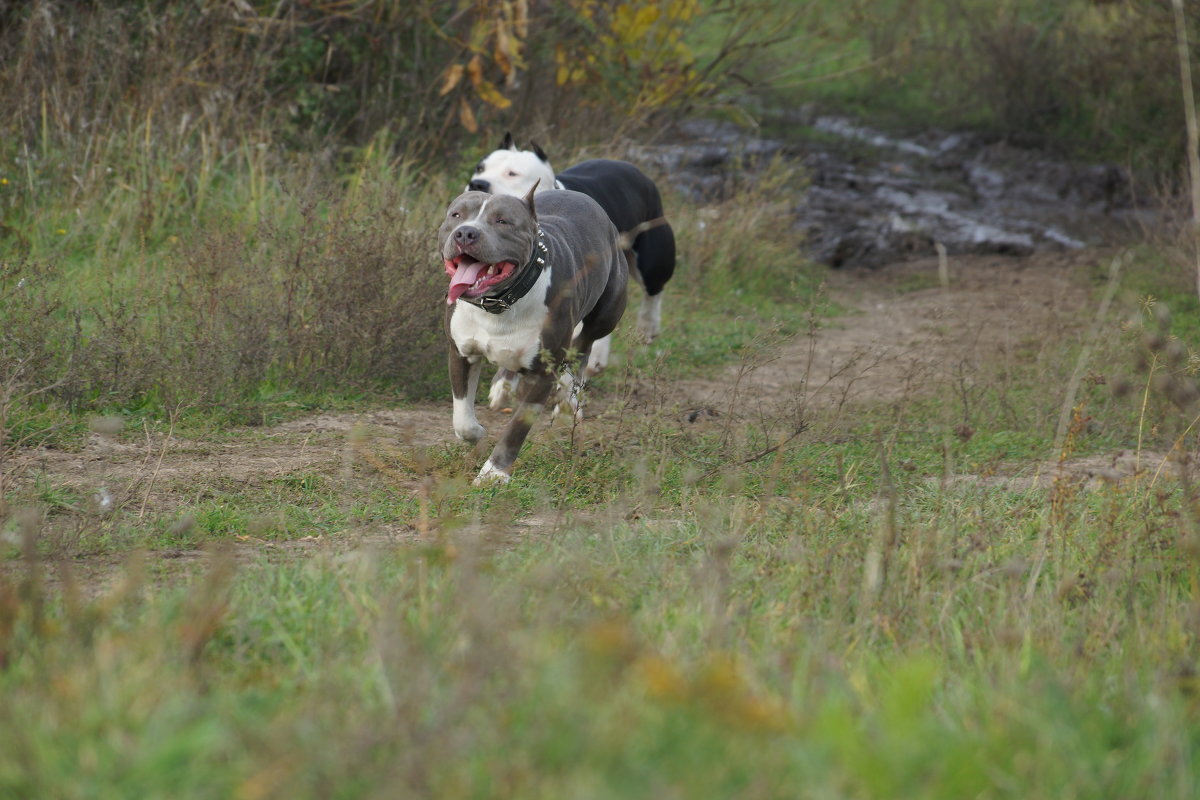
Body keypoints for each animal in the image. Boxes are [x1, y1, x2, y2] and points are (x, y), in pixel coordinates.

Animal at [441, 185, 628, 484]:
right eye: (456, 215)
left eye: (502, 221)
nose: (465, 233)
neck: (500, 303)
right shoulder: (460, 352)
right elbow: (462, 417)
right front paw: (478, 433)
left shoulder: (542, 373)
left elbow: (516, 428)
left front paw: (494, 473)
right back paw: (503, 386)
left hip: (605, 314)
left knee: (583, 346)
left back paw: (568, 400)